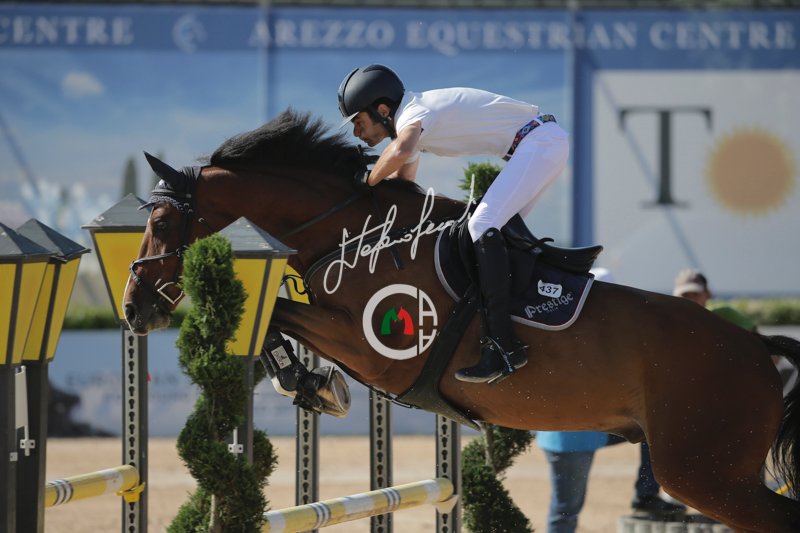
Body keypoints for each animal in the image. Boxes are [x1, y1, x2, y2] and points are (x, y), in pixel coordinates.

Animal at [123, 109, 800, 532]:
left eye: (159, 222)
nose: (134, 307)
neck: (351, 232)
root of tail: (759, 349)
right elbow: (279, 319)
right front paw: (311, 383)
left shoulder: (379, 351)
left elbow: (279, 316)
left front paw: (311, 383)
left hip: (703, 474)